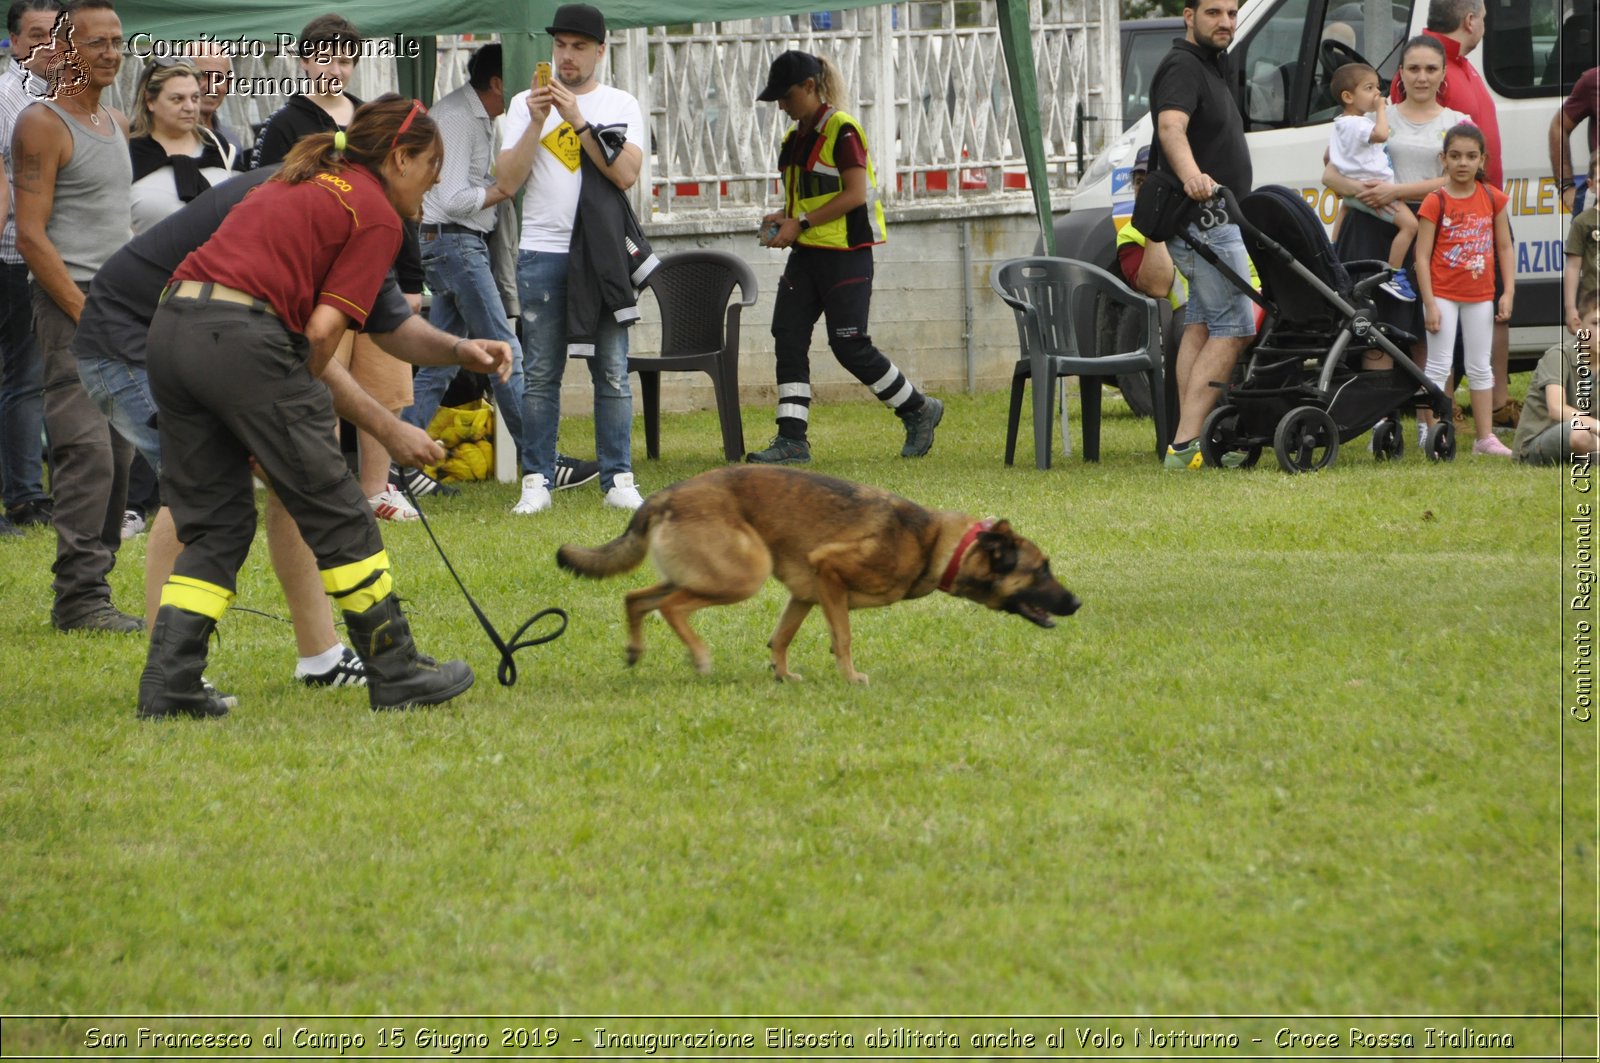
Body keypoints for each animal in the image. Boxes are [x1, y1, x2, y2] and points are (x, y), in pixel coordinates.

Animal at [556, 464, 1081, 681]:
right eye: (1041, 570)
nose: (1076, 602)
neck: (934, 542)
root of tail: (665, 496)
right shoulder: (830, 572)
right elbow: (843, 637)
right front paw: (850, 677)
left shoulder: (805, 595)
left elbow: (782, 638)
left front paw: (783, 674)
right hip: (741, 575)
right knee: (670, 606)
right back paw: (700, 657)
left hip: (701, 572)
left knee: (636, 599)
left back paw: (634, 650)